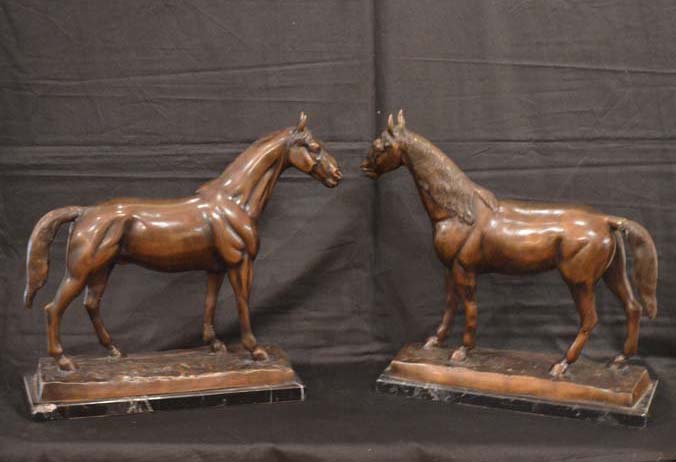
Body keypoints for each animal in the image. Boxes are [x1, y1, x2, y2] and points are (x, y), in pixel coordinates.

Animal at [25, 113, 344, 372]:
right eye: (314, 147)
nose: (337, 175)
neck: (234, 202)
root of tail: (84, 212)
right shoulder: (240, 263)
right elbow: (242, 301)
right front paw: (255, 350)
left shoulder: (215, 268)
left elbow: (210, 302)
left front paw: (215, 344)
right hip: (79, 272)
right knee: (53, 308)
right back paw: (64, 362)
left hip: (103, 270)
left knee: (91, 305)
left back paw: (115, 351)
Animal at [362, 110, 656, 378]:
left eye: (382, 146)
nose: (365, 167)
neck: (460, 213)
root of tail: (606, 220)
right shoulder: (450, 270)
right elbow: (450, 305)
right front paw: (435, 341)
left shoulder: (464, 270)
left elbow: (470, 308)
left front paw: (463, 350)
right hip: (611, 274)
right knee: (633, 307)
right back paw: (619, 361)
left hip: (580, 281)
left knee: (590, 319)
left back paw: (562, 364)